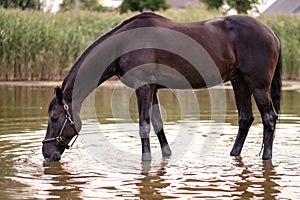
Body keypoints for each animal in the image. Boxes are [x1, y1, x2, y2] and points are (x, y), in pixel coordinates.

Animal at [41, 12, 282, 162]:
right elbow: (157, 124)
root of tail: (271, 33)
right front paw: (166, 154)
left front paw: (145, 160)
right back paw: (234, 154)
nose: (46, 153)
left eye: (54, 117)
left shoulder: (143, 87)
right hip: (239, 81)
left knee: (269, 118)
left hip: (258, 85)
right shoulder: (153, 89)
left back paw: (266, 157)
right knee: (245, 118)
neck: (123, 44)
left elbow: (144, 126)